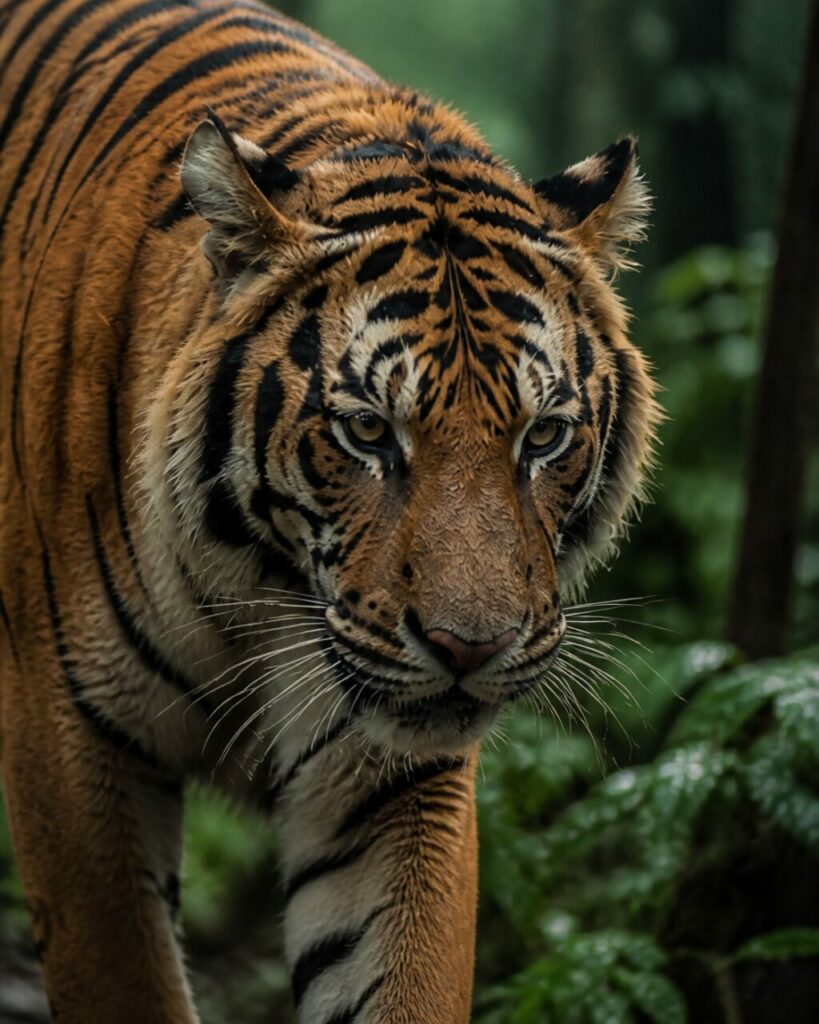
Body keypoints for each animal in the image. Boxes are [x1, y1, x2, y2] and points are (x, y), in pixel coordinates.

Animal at [0, 0, 659, 1021]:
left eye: (544, 436)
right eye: (367, 430)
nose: (471, 649)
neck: (258, 595)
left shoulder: (387, 778)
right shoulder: (70, 739)